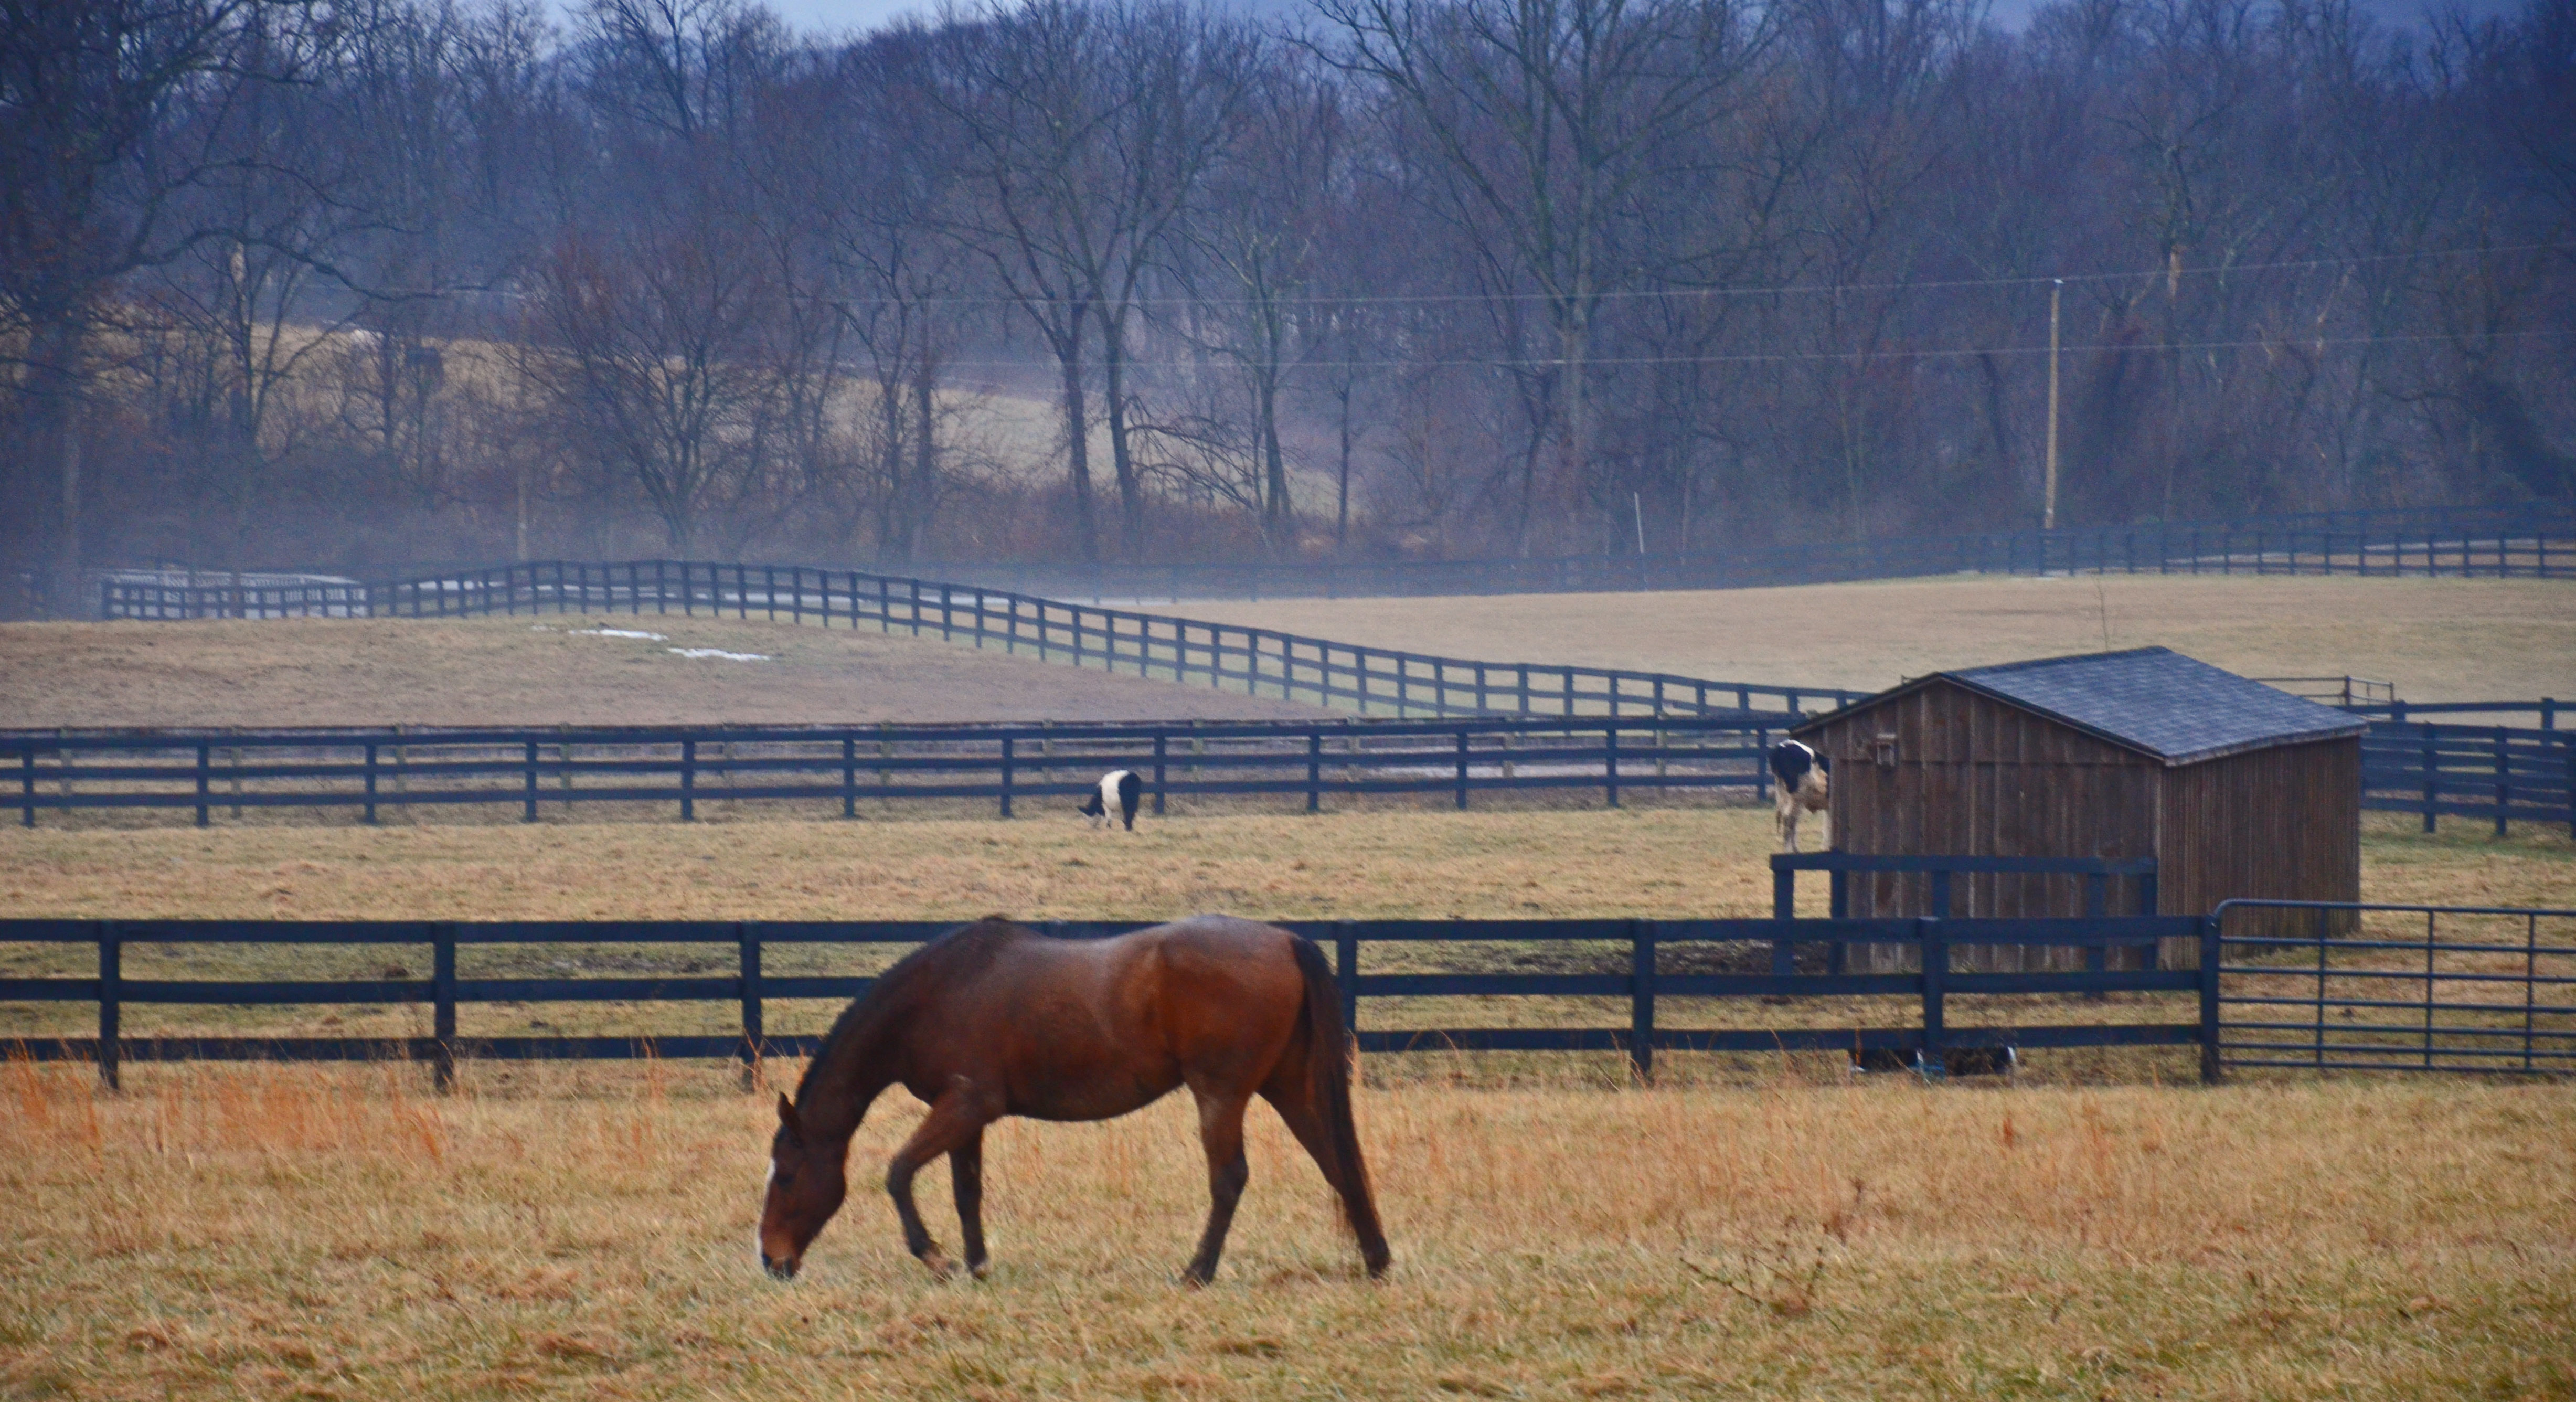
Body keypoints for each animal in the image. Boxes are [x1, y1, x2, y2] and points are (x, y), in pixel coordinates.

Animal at [757, 912, 1391, 1288]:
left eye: (786, 1175)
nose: (770, 1259)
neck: (937, 993)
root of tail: (1283, 939)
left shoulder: (967, 1104)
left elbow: (897, 1173)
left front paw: (937, 1258)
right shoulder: (966, 1117)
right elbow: (966, 1190)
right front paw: (976, 1263)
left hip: (1221, 1093)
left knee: (1230, 1177)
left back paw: (1197, 1271)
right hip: (1287, 1087)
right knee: (1337, 1164)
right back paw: (1377, 1260)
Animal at [1071, 768, 1144, 835]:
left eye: (1086, 817)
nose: (1092, 828)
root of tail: (1131, 776)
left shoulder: (1106, 805)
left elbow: (1109, 818)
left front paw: (1109, 828)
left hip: (1126, 800)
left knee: (1128, 812)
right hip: (1134, 800)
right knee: (1132, 813)